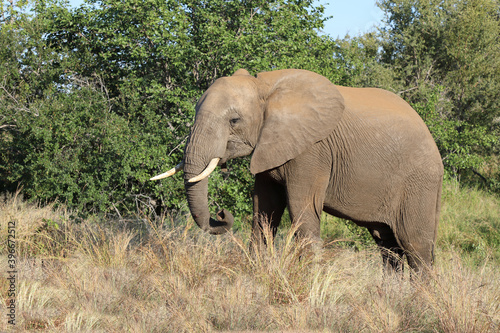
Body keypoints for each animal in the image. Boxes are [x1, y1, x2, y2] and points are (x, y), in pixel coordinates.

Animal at [150, 68, 444, 272]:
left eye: (234, 120)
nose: (222, 213)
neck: (265, 88)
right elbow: (264, 210)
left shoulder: (312, 151)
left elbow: (302, 207)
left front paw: (309, 282)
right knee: (388, 245)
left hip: (419, 182)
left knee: (415, 245)